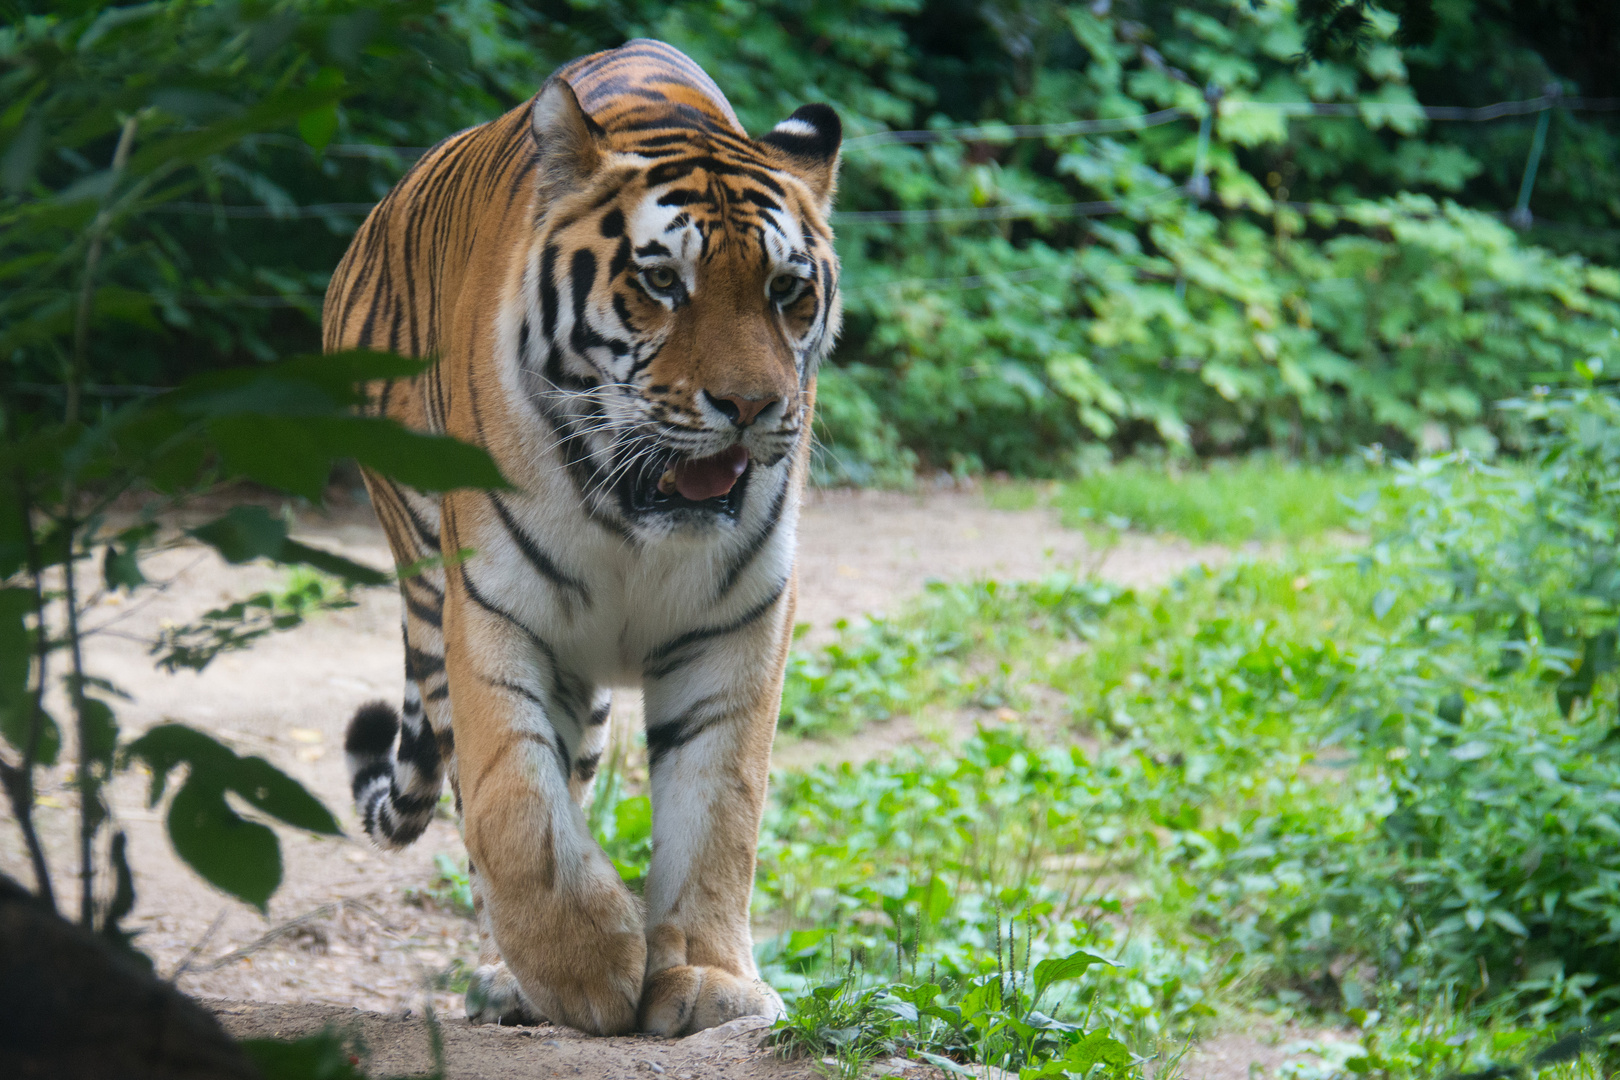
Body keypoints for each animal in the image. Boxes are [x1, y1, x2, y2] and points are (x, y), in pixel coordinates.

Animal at [320, 40, 842, 1036]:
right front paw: (587, 966)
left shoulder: (740, 625)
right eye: (662, 281)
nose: (753, 407)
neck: (634, 520)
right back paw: (516, 979)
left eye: (787, 291)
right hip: (428, 585)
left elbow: (721, 808)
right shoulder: (493, 611)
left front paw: (706, 975)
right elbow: (514, 804)